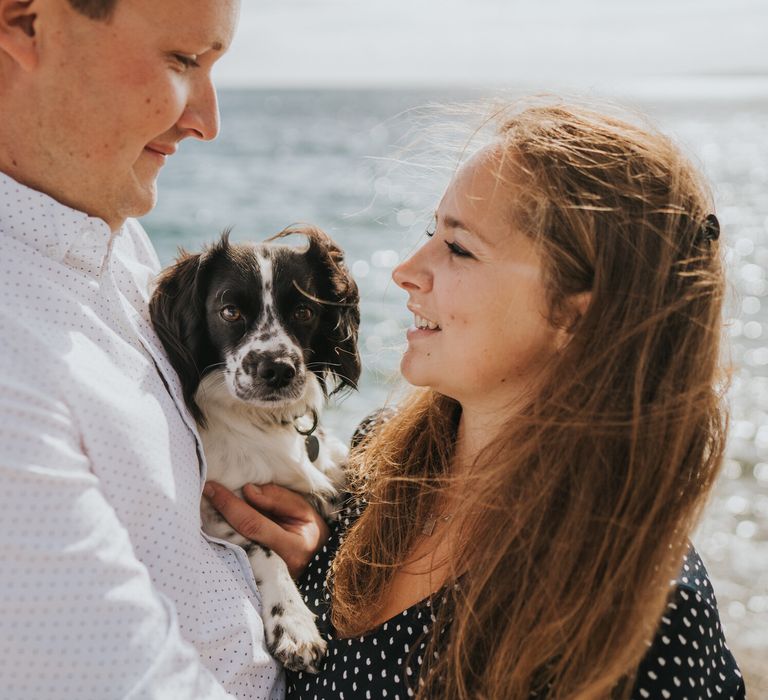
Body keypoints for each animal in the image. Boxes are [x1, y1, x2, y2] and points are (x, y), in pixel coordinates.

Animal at [149, 228, 360, 672]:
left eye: (304, 312)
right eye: (229, 311)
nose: (277, 369)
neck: (264, 422)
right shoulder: (214, 510)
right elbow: (265, 548)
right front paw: (294, 623)